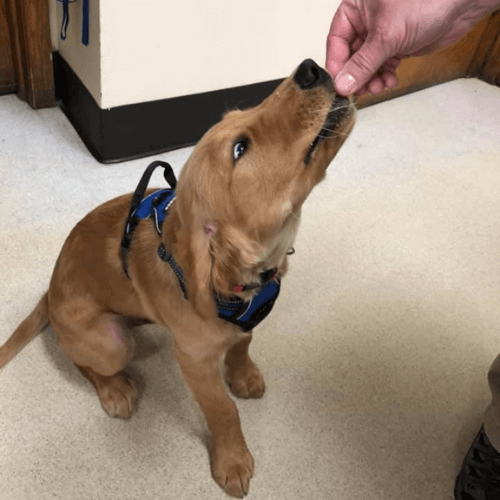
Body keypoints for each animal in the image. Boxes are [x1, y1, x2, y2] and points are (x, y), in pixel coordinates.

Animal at [0, 57, 354, 496]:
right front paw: (232, 461)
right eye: (240, 148)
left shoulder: (244, 322)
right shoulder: (193, 360)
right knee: (83, 362)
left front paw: (243, 375)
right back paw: (114, 389)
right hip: (112, 344)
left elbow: (242, 344)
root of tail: (49, 292)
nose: (310, 67)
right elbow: (223, 410)